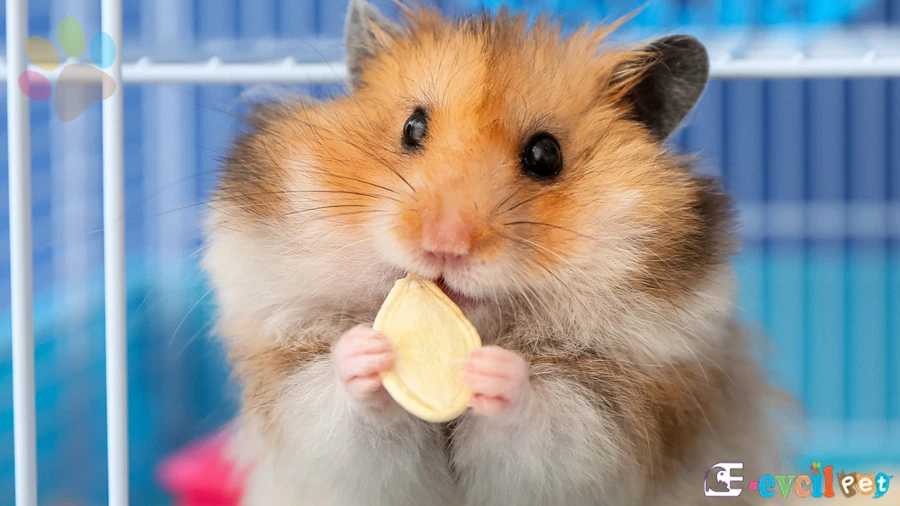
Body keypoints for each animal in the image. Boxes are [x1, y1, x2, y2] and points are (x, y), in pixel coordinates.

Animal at [201, 1, 791, 505]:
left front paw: (498, 372)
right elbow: (341, 414)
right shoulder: (305, 415)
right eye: (412, 127)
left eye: (545, 155)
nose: (443, 245)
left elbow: (546, 426)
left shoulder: (613, 425)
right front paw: (365, 352)